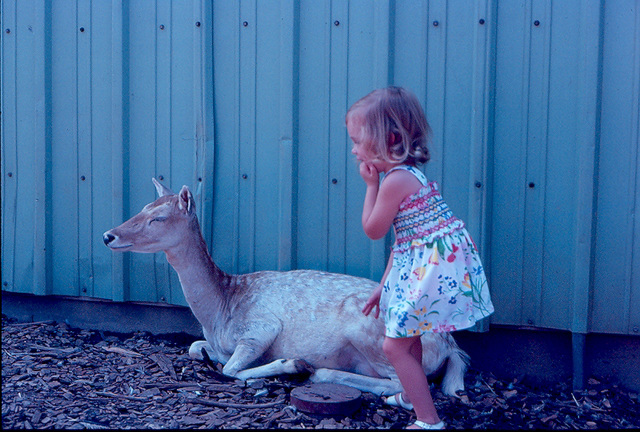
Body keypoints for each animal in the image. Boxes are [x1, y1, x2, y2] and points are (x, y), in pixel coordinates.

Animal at [102, 177, 468, 396]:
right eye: (142, 208)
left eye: (158, 218)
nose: (108, 235)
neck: (219, 312)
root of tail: (448, 344)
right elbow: (194, 348)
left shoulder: (261, 328)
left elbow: (232, 370)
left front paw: (290, 364)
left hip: (369, 330)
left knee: (402, 387)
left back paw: (317, 372)